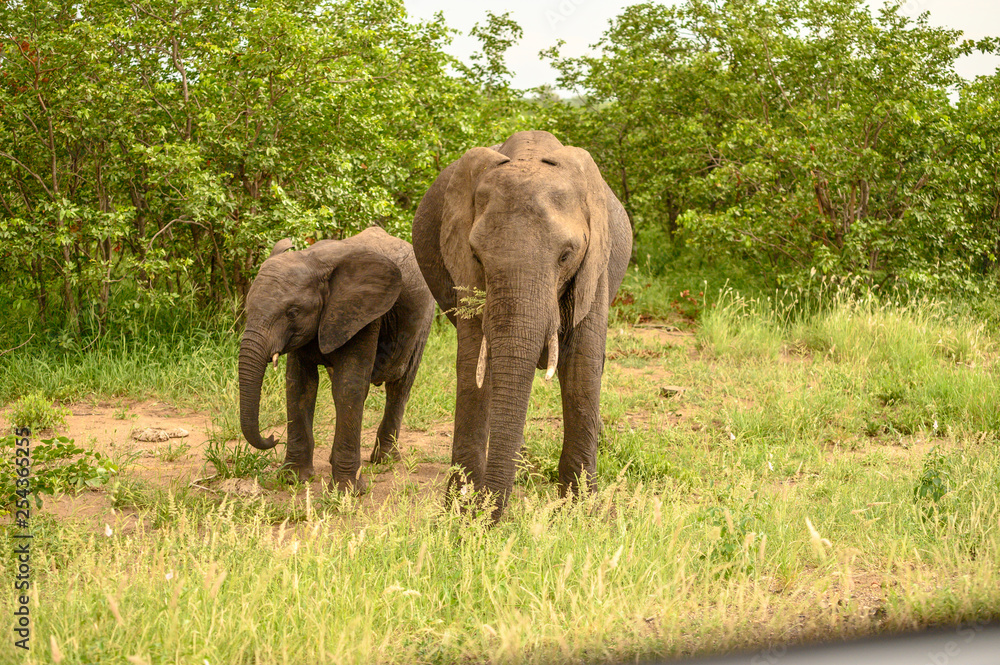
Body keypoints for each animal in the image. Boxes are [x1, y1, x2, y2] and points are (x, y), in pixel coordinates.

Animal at [240, 228, 436, 492]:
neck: (312, 260)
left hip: (425, 317)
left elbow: (348, 387)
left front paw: (348, 491)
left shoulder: (363, 313)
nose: (272, 437)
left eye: (292, 313)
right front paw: (293, 479)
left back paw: (385, 460)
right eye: (248, 308)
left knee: (400, 385)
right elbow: (299, 386)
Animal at [414, 130, 632, 520]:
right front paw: (459, 510)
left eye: (565, 255)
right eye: (477, 256)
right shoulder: (463, 272)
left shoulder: (595, 267)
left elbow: (582, 367)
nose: (486, 518)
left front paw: (580, 511)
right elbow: (474, 366)